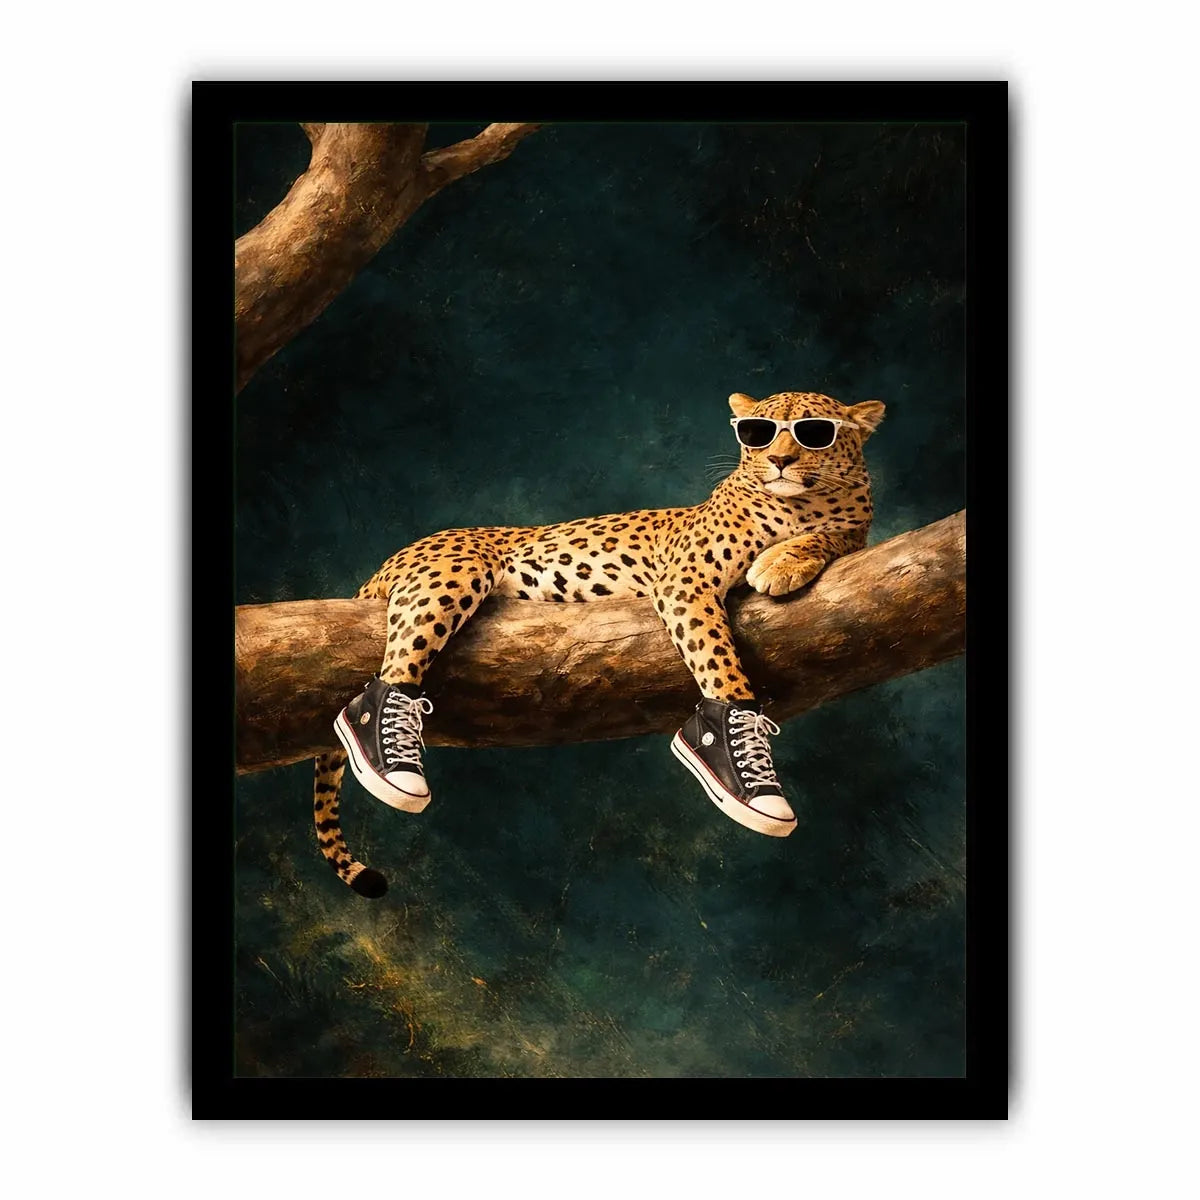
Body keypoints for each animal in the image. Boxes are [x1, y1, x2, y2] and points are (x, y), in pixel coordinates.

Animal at [313, 390, 885, 897]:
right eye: (759, 433)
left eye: (815, 433)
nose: (781, 461)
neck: (802, 505)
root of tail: (390, 560)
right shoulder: (686, 579)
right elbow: (717, 658)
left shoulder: (854, 533)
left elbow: (832, 536)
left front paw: (784, 561)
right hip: (453, 570)